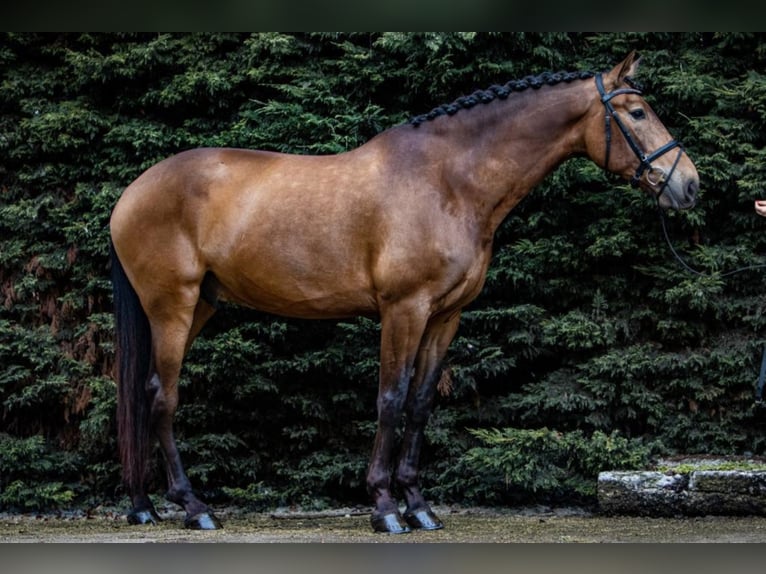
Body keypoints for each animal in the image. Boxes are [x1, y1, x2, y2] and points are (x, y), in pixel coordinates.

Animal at [109, 51, 704, 536]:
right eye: (636, 113)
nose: (690, 184)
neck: (449, 182)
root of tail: (130, 194)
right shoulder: (404, 309)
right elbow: (390, 399)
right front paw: (385, 508)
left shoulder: (445, 315)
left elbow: (419, 404)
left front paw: (420, 507)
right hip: (173, 306)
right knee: (163, 396)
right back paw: (193, 508)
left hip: (199, 307)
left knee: (141, 391)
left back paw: (144, 506)